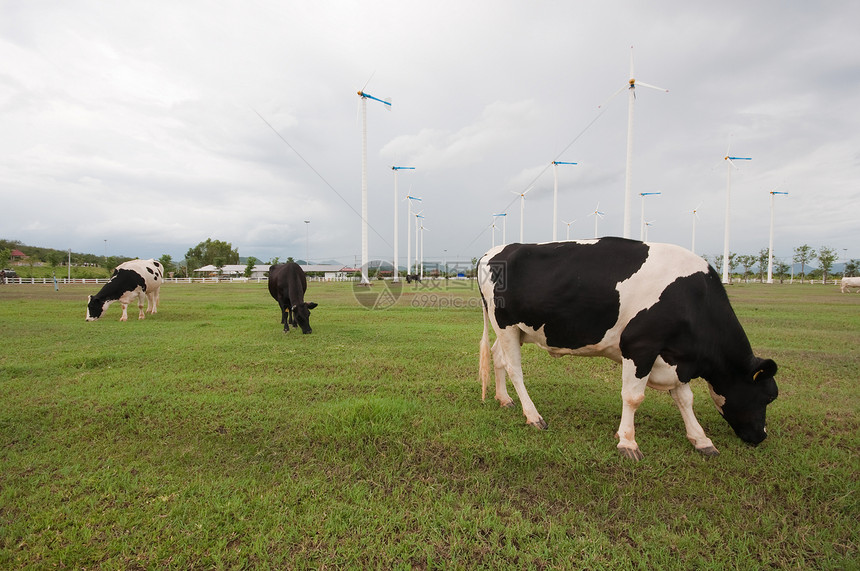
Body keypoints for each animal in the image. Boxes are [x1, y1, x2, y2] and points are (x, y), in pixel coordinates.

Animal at [478, 239, 780, 462]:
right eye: (768, 396)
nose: (761, 436)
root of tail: (495, 251)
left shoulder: (676, 358)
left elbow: (685, 399)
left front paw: (701, 439)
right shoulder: (640, 346)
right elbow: (633, 397)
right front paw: (628, 442)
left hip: (514, 330)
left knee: (497, 357)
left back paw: (504, 399)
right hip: (505, 323)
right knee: (515, 369)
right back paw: (533, 416)